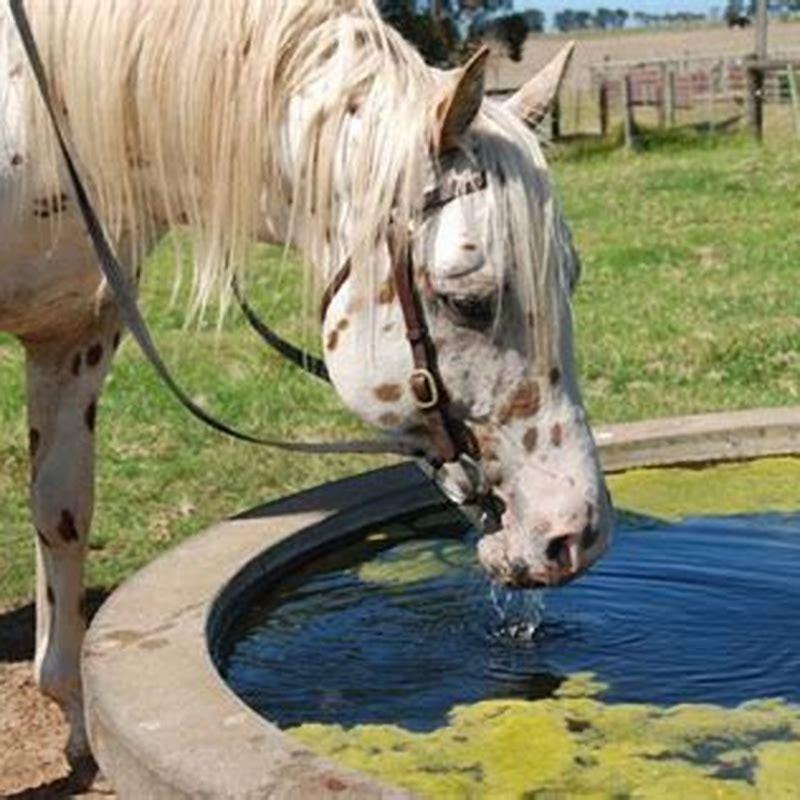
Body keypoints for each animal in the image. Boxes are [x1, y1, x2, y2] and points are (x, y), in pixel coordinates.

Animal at [0, 1, 613, 764]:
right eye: (467, 300)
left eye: (573, 275)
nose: (577, 535)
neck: (40, 115)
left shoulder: (74, 340)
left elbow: (62, 515)